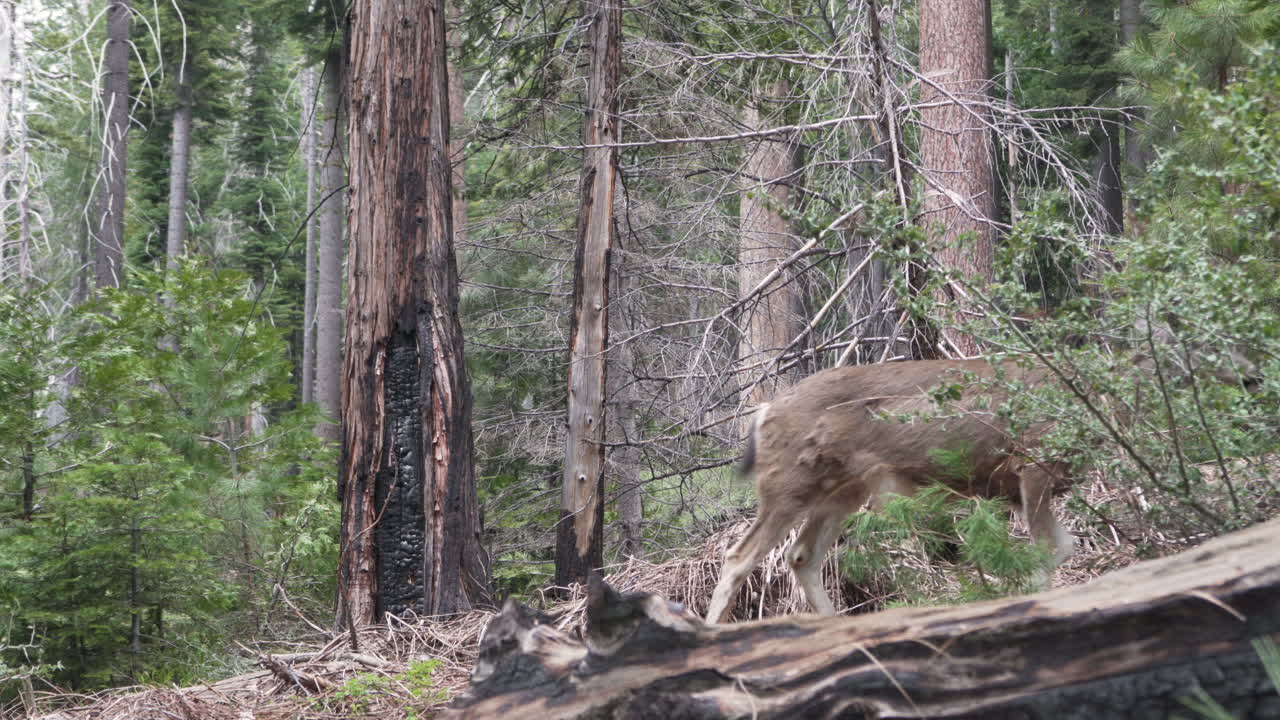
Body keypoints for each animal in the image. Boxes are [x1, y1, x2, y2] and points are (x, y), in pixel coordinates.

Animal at [705, 358, 1075, 624]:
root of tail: (765, 412)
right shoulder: (1034, 464)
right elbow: (1048, 548)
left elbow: (1063, 546)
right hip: (788, 484)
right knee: (739, 557)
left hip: (843, 491)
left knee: (801, 555)